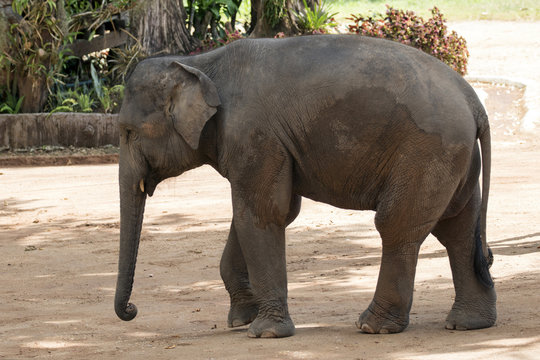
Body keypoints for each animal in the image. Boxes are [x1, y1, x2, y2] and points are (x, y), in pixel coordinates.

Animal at [115, 33, 498, 338]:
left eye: (128, 131)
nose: (132, 311)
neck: (199, 63)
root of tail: (474, 102)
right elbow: (269, 213)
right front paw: (241, 320)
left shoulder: (254, 135)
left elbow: (261, 214)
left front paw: (265, 333)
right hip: (455, 157)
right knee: (459, 228)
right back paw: (469, 324)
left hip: (427, 152)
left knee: (397, 227)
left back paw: (372, 326)